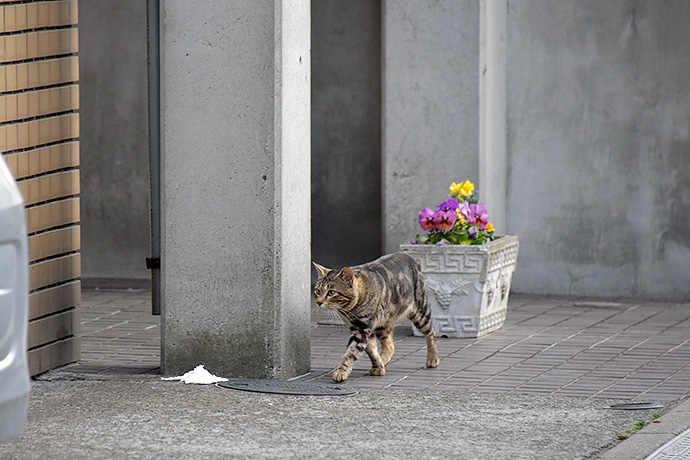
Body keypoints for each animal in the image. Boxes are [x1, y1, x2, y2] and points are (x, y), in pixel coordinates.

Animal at [314, 253, 438, 382]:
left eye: (331, 292)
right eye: (317, 291)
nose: (318, 302)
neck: (351, 311)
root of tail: (410, 258)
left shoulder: (362, 328)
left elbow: (351, 353)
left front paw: (341, 371)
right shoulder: (363, 328)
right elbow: (372, 350)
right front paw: (378, 367)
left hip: (420, 312)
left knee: (431, 332)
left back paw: (433, 359)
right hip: (383, 324)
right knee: (390, 346)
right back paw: (383, 362)